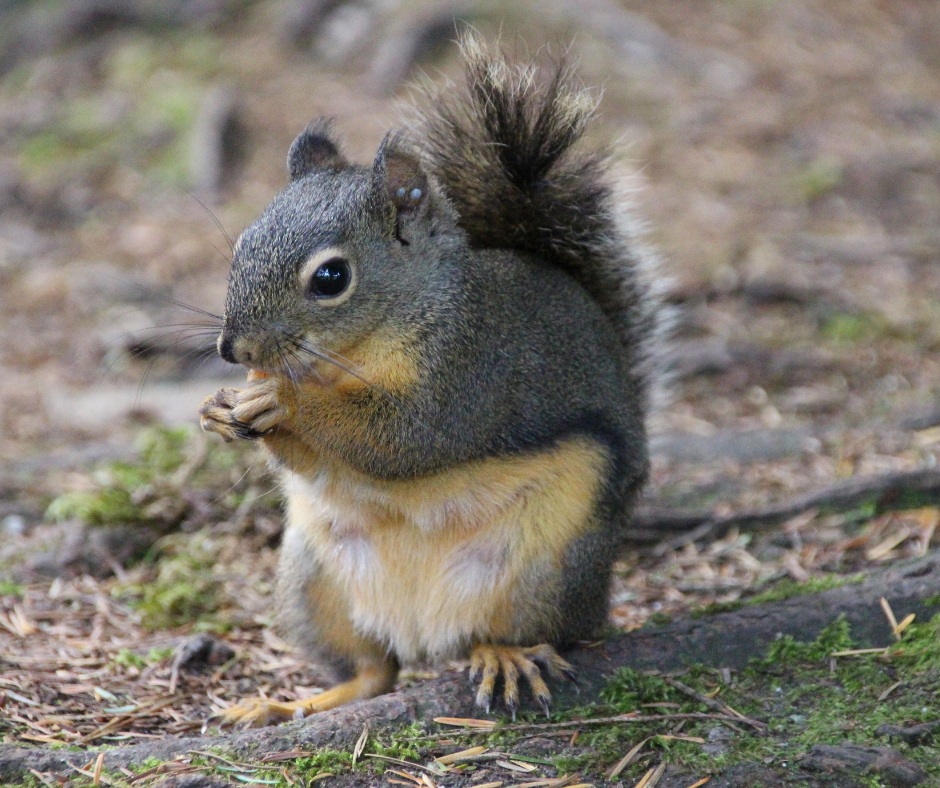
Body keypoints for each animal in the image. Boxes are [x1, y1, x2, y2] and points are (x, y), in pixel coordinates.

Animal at [198, 34, 662, 727]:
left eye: (331, 278)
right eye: (241, 248)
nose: (234, 349)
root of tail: (423, 632)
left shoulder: (469, 365)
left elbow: (406, 438)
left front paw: (283, 399)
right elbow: (313, 463)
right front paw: (219, 410)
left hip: (546, 568)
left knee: (527, 633)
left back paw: (503, 657)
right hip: (312, 585)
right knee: (373, 672)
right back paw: (287, 704)